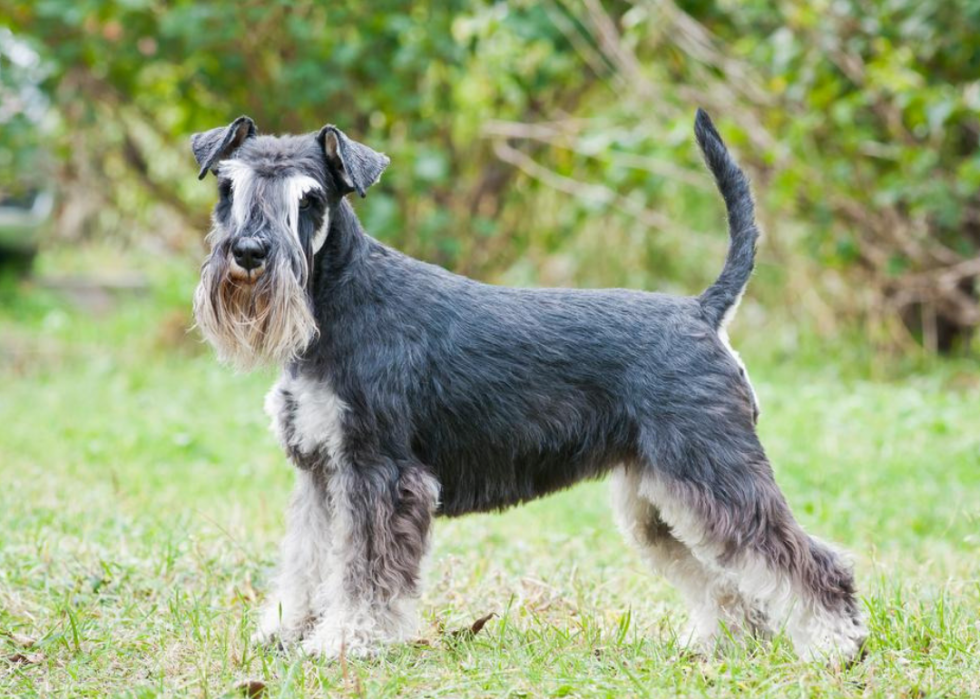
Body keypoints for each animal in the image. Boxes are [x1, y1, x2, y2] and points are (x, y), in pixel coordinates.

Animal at [189, 109, 864, 660]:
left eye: (309, 199)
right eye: (228, 187)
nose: (248, 252)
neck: (335, 304)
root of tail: (703, 311)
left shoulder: (379, 472)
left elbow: (363, 571)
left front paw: (346, 640)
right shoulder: (320, 472)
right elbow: (306, 560)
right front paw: (284, 630)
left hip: (715, 471)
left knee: (804, 558)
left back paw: (836, 644)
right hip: (662, 498)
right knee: (727, 576)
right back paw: (726, 643)